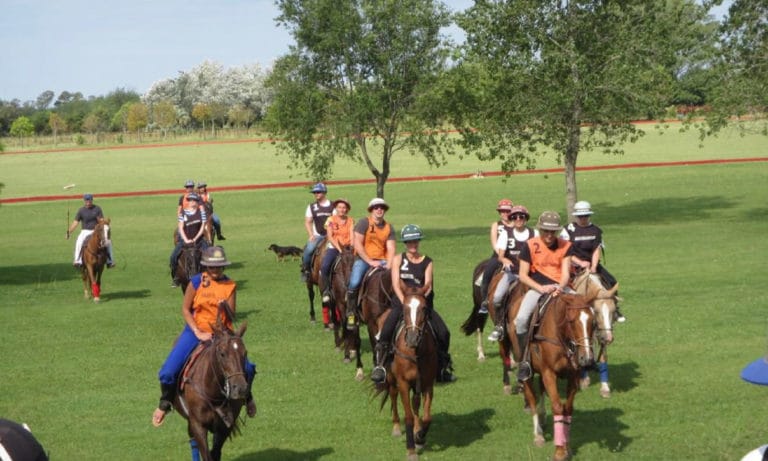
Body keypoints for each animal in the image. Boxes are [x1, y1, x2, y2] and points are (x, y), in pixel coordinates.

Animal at [173, 314, 249, 460]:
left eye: (245, 353)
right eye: (222, 354)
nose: (241, 388)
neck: (213, 393)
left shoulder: (224, 427)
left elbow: (215, 453)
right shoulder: (198, 425)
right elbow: (206, 454)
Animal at [328, 246, 364, 380]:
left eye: (355, 261)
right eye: (342, 262)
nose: (349, 282)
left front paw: (352, 350)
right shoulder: (340, 304)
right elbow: (344, 325)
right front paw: (347, 355)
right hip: (333, 302)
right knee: (336, 321)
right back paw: (338, 344)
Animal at [376, 288, 438, 460]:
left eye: (424, 308)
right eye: (404, 309)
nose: (412, 338)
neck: (415, 352)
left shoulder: (427, 383)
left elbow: (427, 417)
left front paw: (420, 437)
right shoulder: (403, 382)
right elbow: (408, 416)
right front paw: (411, 450)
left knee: (415, 403)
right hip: (391, 378)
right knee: (393, 395)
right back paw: (397, 427)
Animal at [510, 292, 600, 458]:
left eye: (593, 321)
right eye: (571, 321)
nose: (587, 360)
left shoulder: (573, 375)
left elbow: (568, 408)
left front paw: (567, 446)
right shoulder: (549, 374)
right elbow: (557, 407)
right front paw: (559, 451)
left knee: (541, 390)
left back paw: (542, 417)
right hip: (525, 367)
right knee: (531, 396)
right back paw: (538, 435)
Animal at [568, 270, 616, 398]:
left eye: (613, 310)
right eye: (597, 311)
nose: (609, 338)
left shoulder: (600, 333)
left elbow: (603, 357)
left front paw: (605, 388)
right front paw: (584, 380)